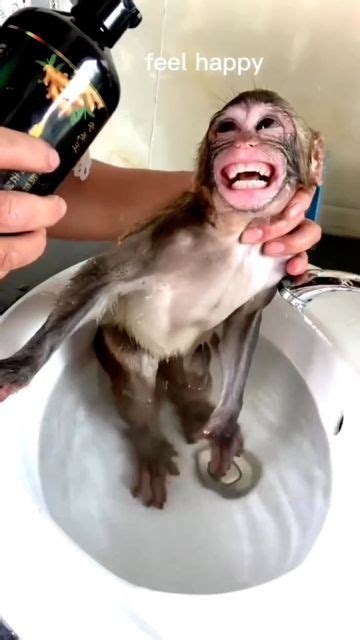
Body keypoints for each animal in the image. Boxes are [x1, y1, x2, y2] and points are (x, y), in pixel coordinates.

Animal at [0, 90, 324, 510]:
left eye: (267, 125)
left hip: (191, 354)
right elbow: (101, 276)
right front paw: (21, 367)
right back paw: (151, 443)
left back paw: (195, 412)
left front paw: (224, 426)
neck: (237, 236)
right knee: (138, 387)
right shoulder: (169, 238)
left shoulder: (274, 260)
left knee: (192, 376)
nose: (244, 142)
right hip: (120, 345)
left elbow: (243, 321)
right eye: (228, 127)